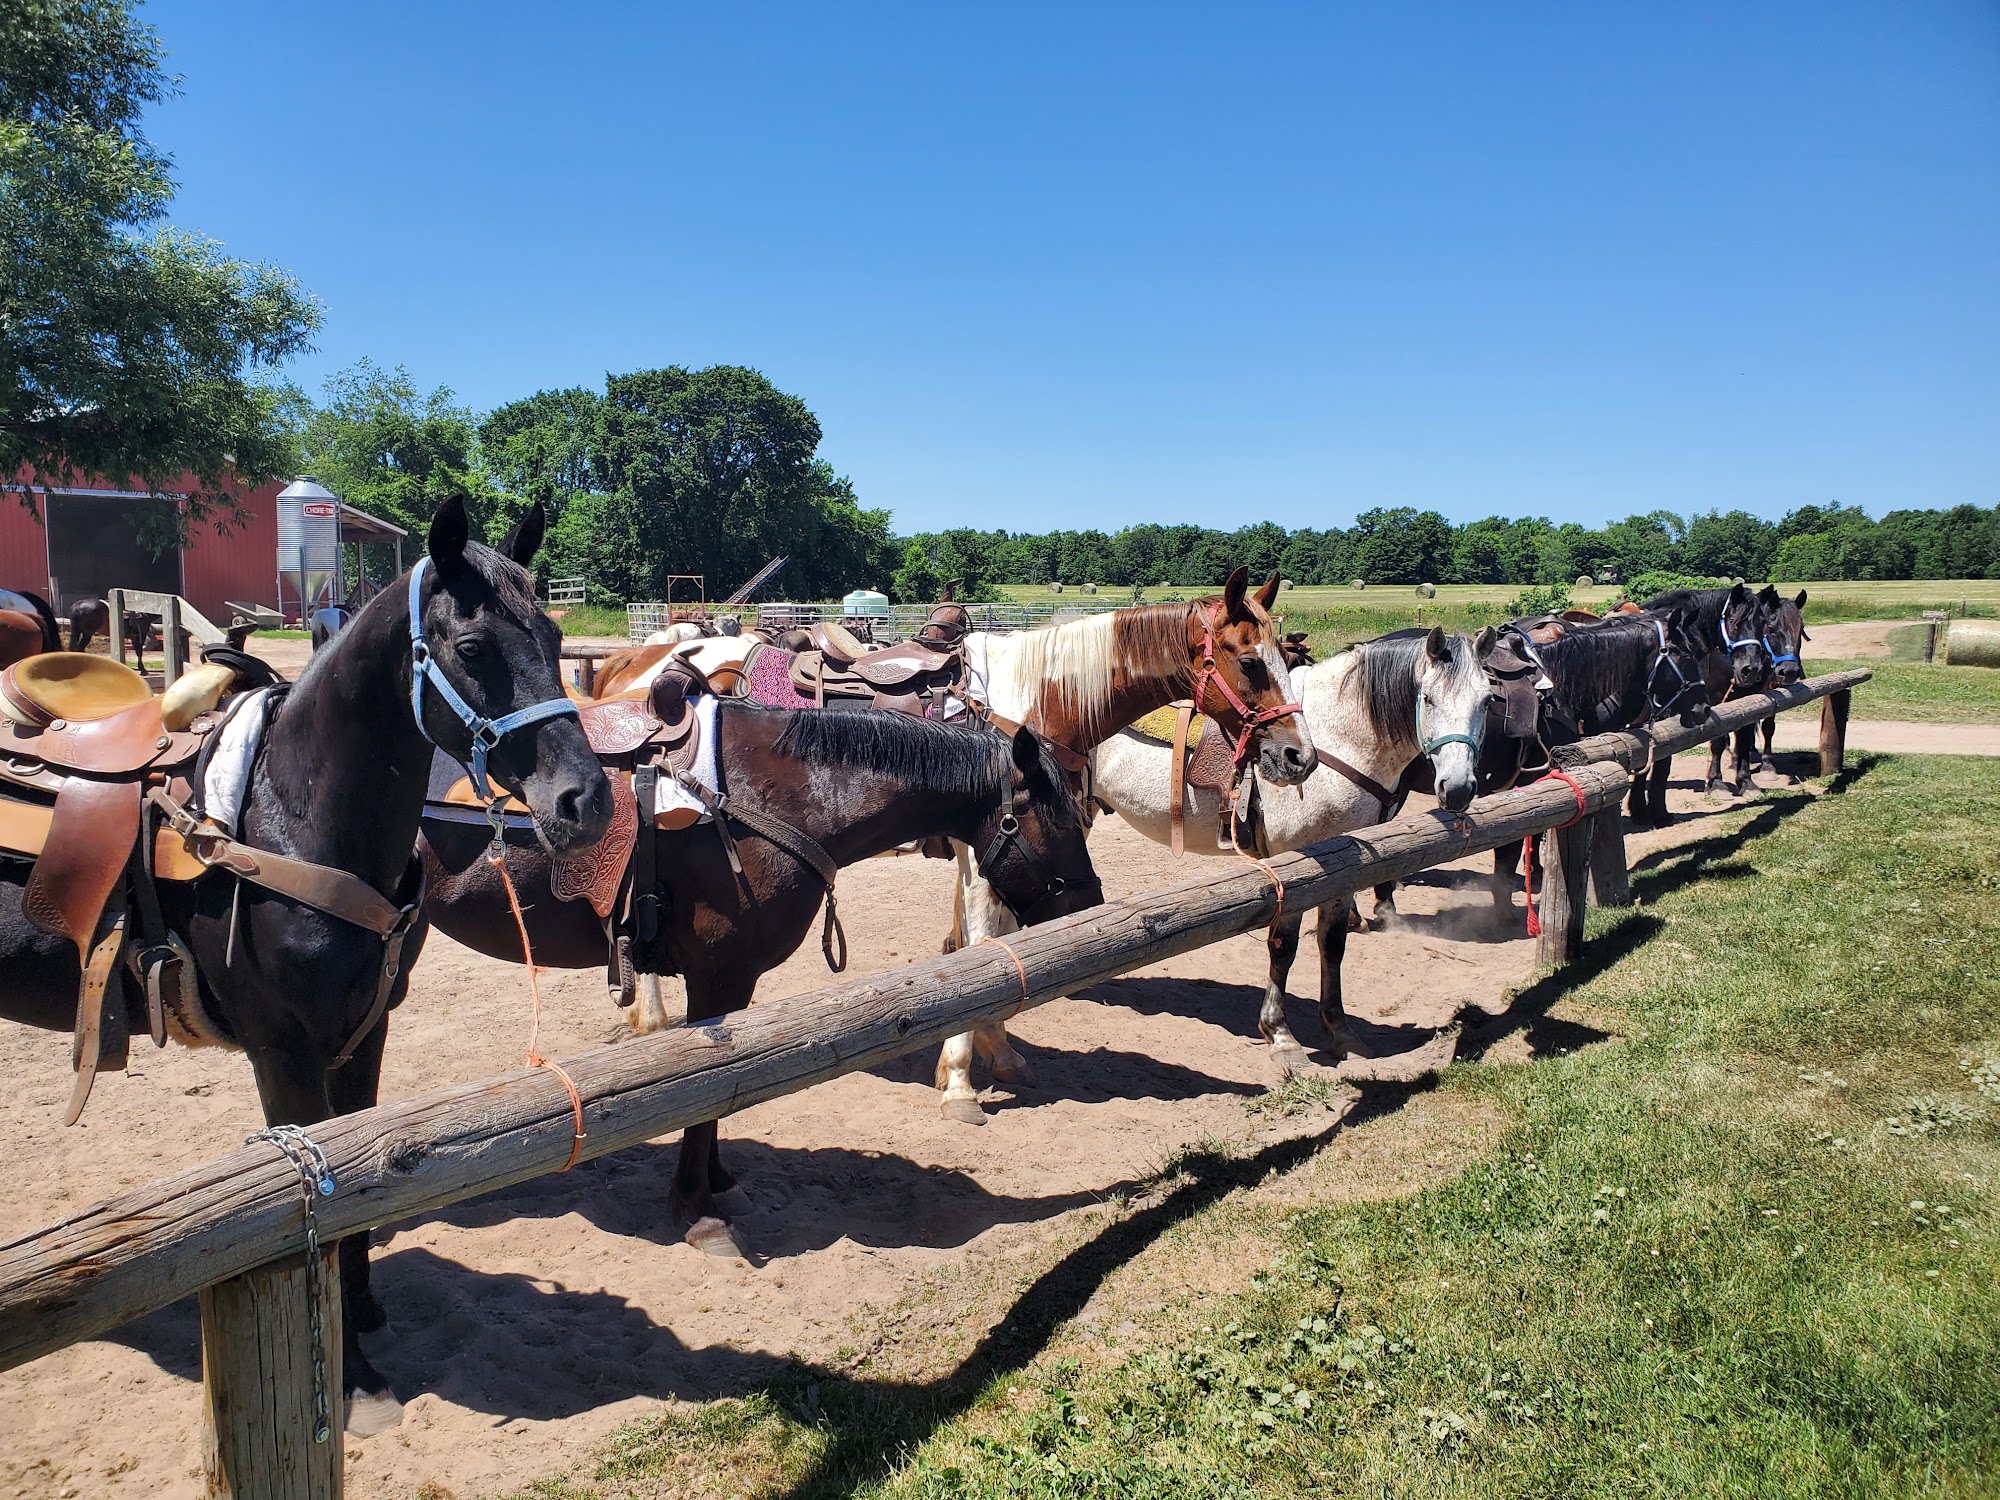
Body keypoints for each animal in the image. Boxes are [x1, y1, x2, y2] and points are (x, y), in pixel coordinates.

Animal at [0, 496, 612, 1432]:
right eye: (473, 649)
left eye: (552, 633)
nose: (587, 802)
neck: (287, 815)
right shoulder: (283, 1053)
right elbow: (318, 1197)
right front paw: (353, 1376)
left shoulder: (365, 1035)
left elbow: (365, 1188)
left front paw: (361, 1321)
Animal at [424, 704, 1112, 1256]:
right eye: (1059, 820)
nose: (1091, 905)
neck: (776, 798)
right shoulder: (717, 976)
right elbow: (704, 1096)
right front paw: (696, 1210)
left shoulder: (734, 983)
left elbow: (722, 1092)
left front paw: (717, 1183)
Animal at [1088, 624, 1496, 1072]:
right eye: (1428, 698)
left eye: (1488, 699)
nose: (1458, 788)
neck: (1338, 737)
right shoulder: (1294, 864)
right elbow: (1284, 947)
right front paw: (1280, 1035)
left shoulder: (1346, 866)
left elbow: (1332, 945)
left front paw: (1341, 1032)